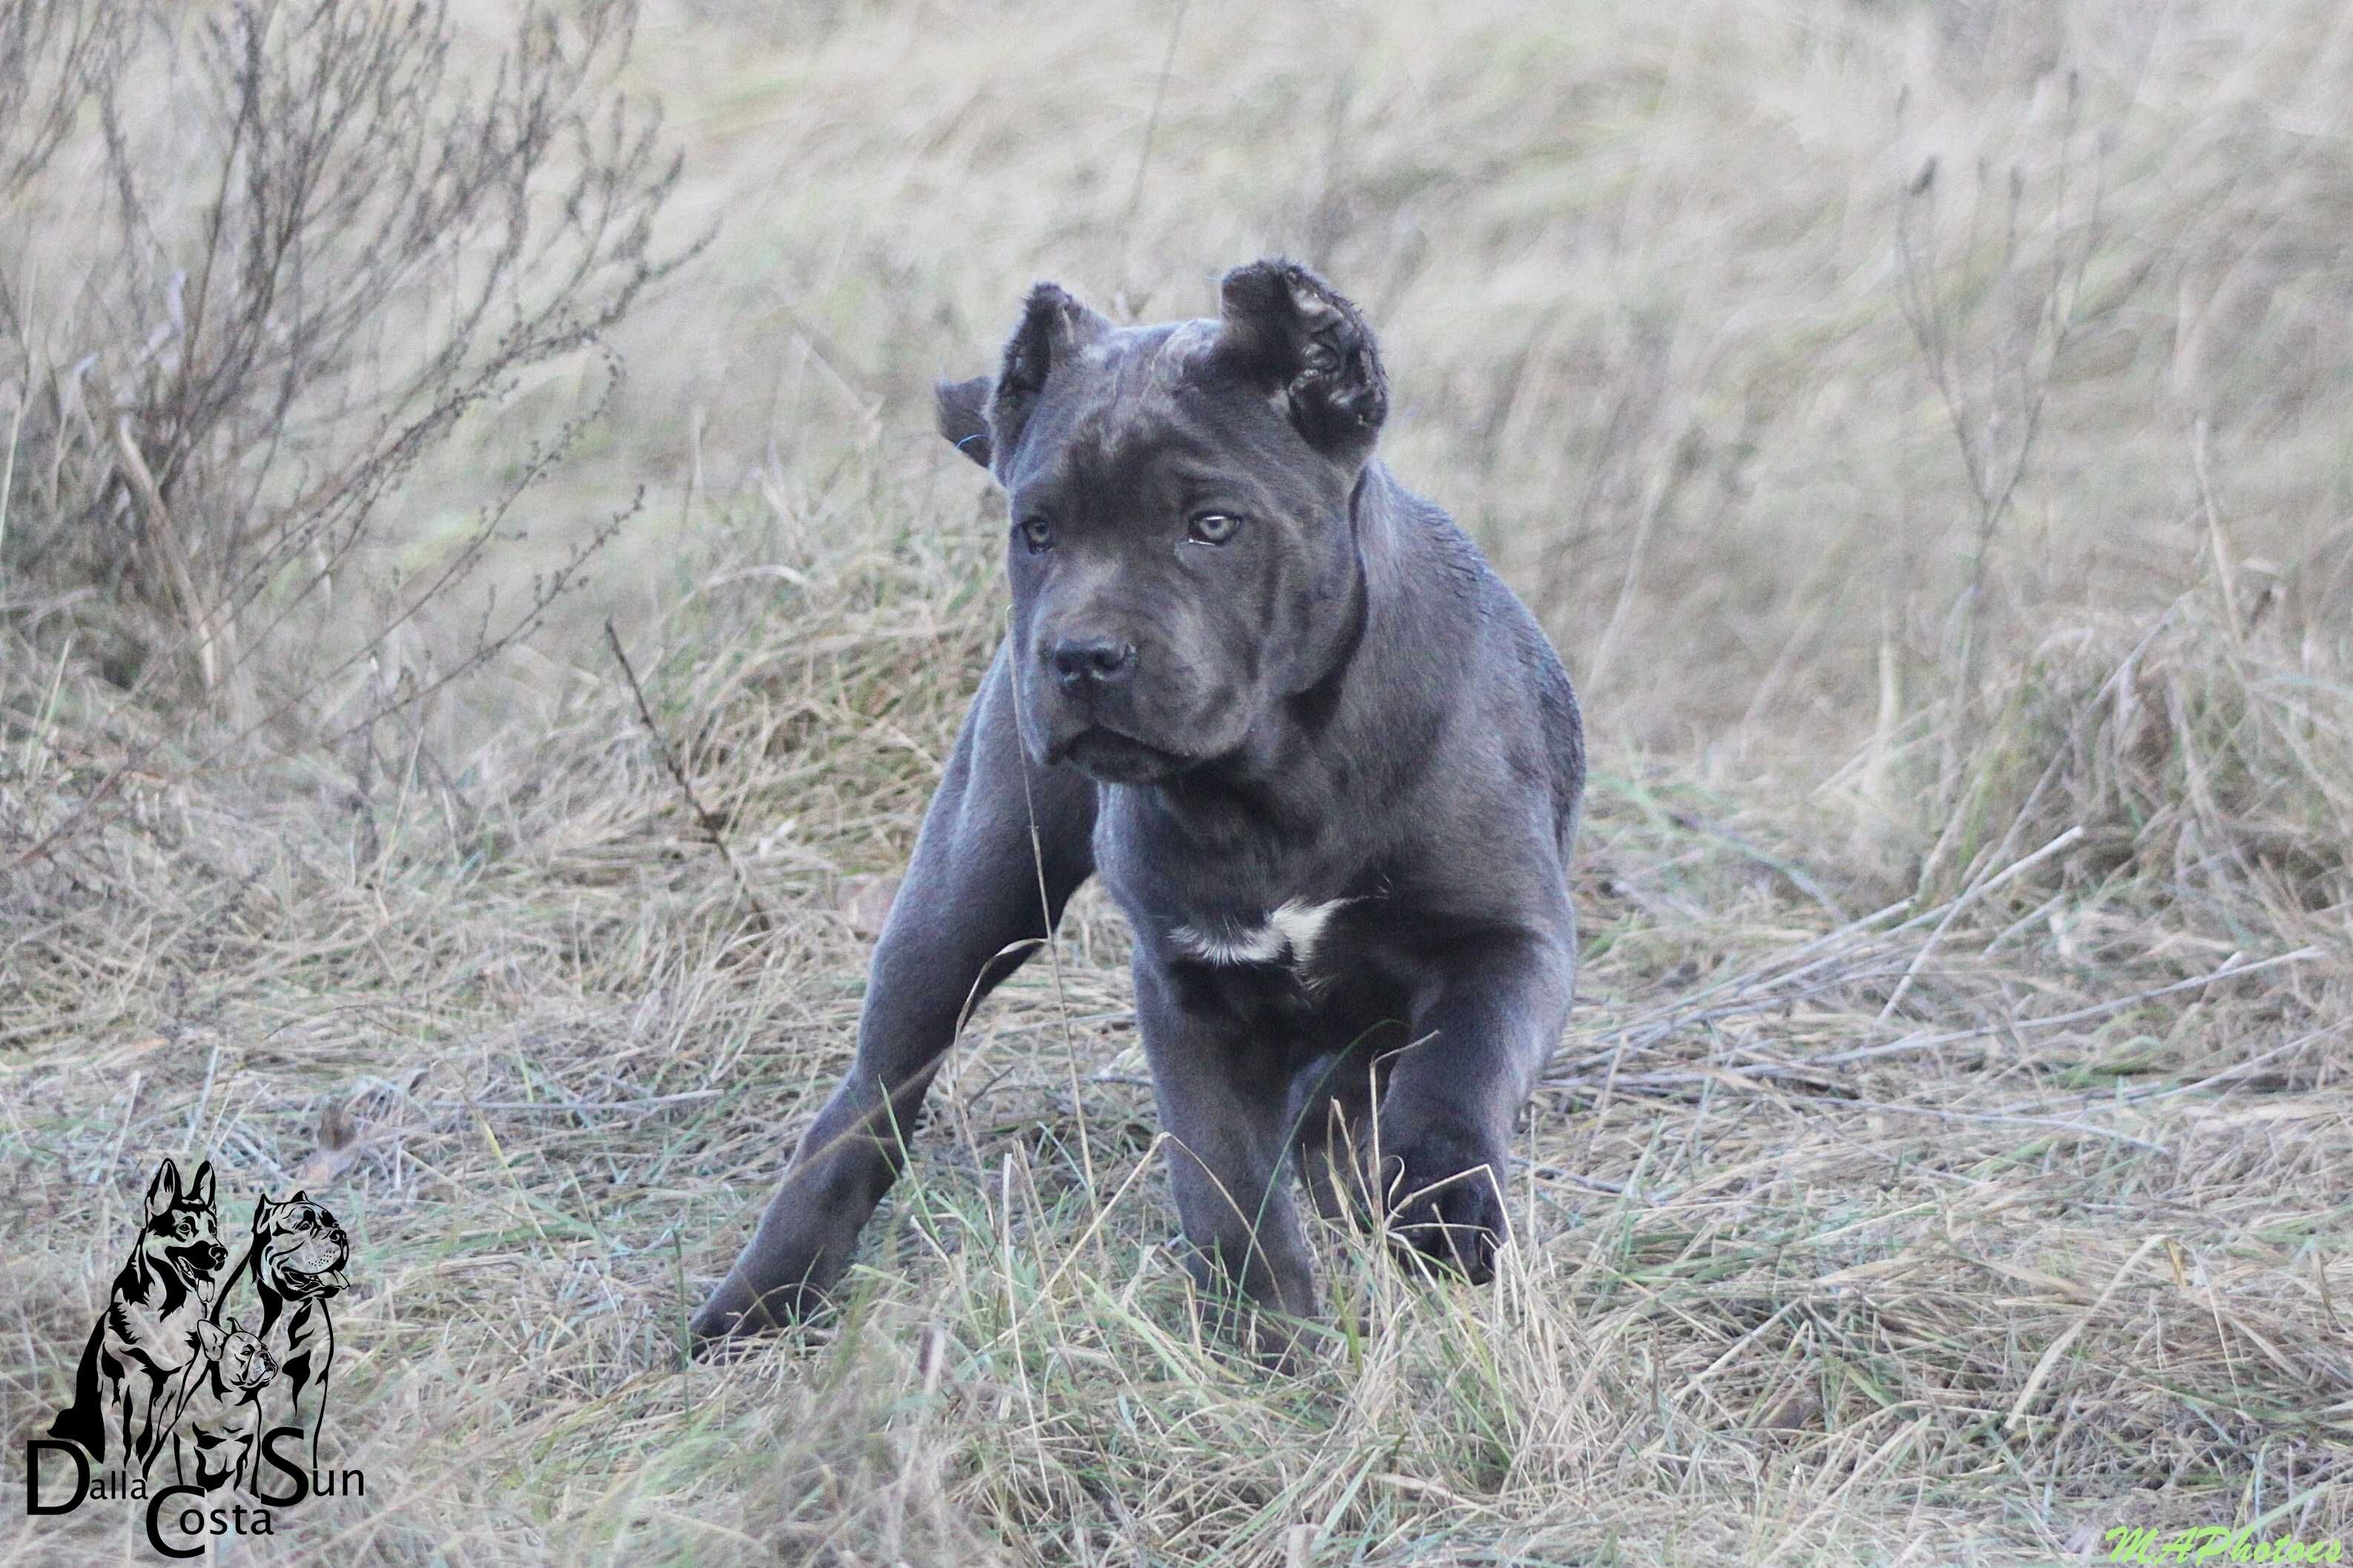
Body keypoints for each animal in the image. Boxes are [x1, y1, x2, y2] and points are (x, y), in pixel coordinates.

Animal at [696, 260, 1581, 1363]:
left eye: (1211, 525)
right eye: (1036, 531)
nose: (1081, 657)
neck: (1280, 771)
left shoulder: (1508, 938)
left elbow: (1459, 1064)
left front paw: (1437, 1206)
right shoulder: (1190, 986)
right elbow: (1226, 1180)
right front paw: (1270, 1340)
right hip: (970, 889)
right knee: (873, 1094)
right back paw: (759, 1299)